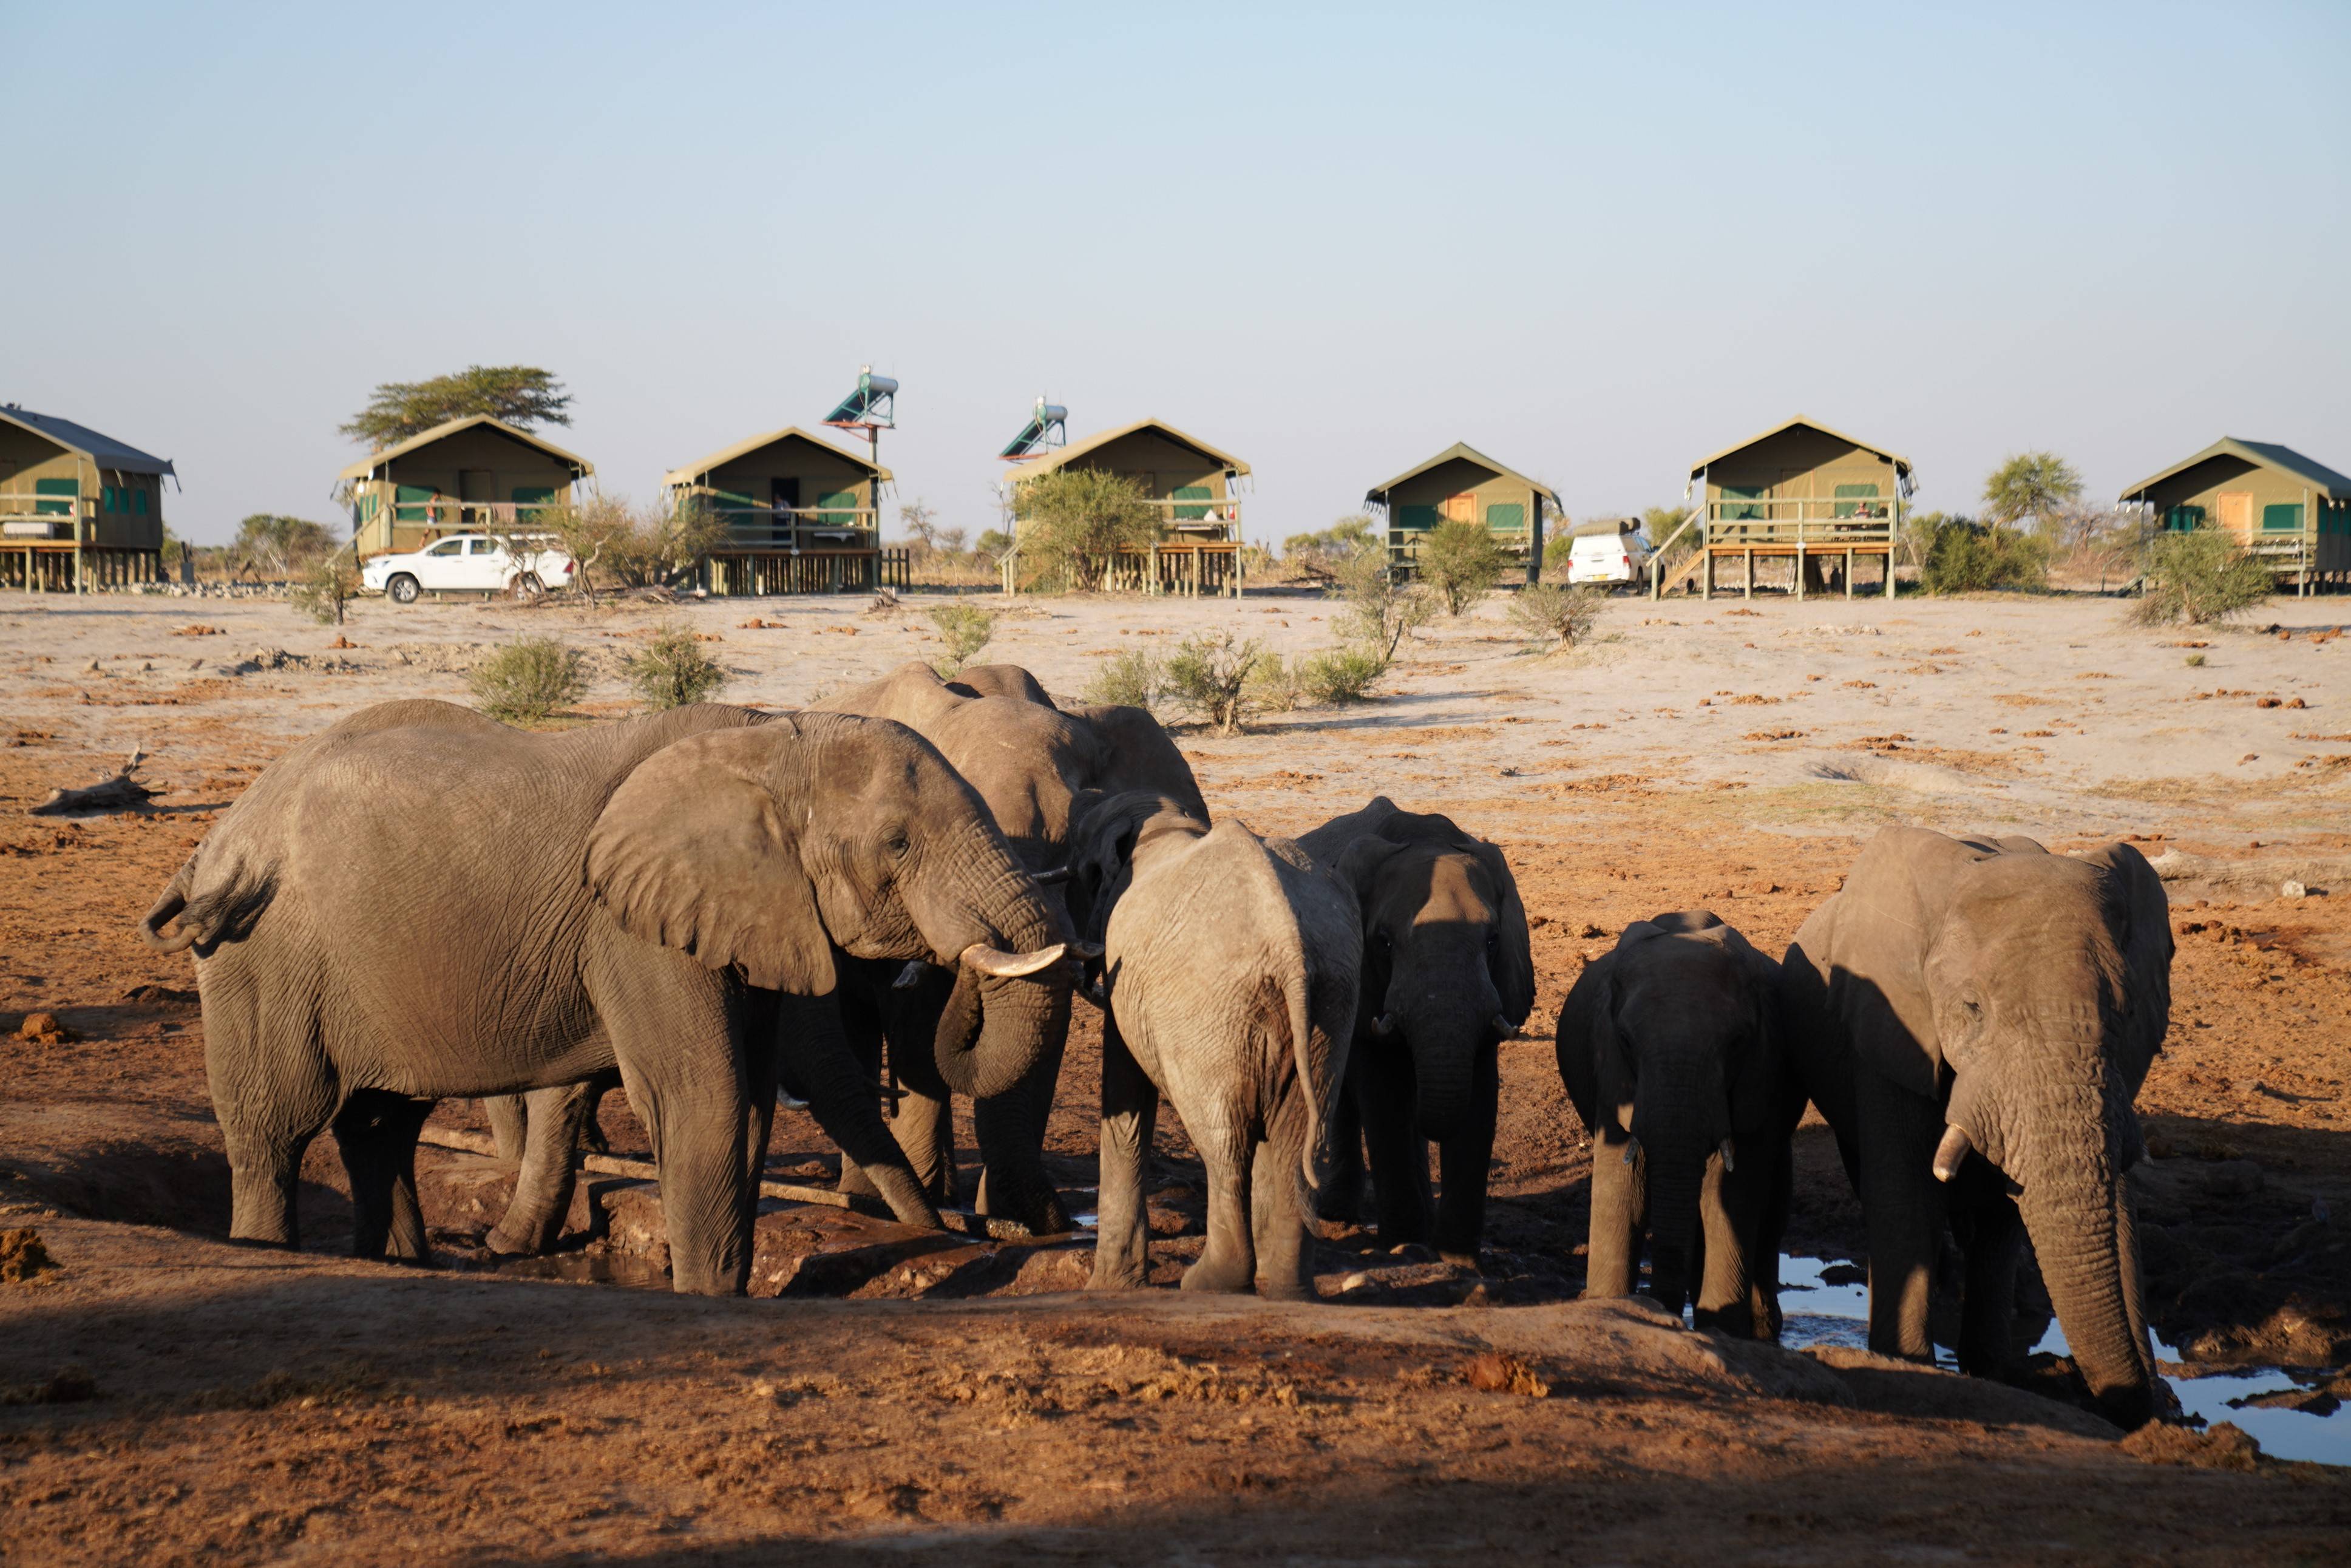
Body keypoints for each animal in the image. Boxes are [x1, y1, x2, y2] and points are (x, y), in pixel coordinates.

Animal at [137, 701, 1076, 1297]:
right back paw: (269, 1244)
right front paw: (709, 1302)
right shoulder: (631, 925)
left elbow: (749, 1104)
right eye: (897, 843)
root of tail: (211, 842)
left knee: (380, 1128)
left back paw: (399, 1266)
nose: (966, 1236)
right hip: (261, 955)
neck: (772, 740)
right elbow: (705, 1098)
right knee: (277, 1126)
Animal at [1067, 799, 1363, 1297]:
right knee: (1293, 1138)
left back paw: (1209, 1283)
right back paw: (1286, 1290)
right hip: (1332, 999)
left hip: (1208, 1011)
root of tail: (1287, 944)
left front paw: (1107, 1289)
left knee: (1224, 1142)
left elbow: (1126, 1089)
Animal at [1297, 799, 1533, 1260]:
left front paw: (1458, 1256)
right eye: (1384, 942)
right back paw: (1338, 1212)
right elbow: (1383, 1096)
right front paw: (1404, 1246)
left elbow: (1479, 1096)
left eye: (1493, 940)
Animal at [1561, 912, 1796, 1345]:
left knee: (1772, 1209)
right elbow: (1622, 1190)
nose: (1663, 1311)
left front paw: (1722, 1330)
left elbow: (1730, 1198)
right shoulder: (1612, 1072)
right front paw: (1610, 1309)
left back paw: (1762, 1331)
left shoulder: (1762, 1069)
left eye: (1737, 1042)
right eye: (1625, 1040)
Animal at [1786, 827, 2172, 1429]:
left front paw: (1990, 1370)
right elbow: (1905, 1191)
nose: (2152, 1403)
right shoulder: (1892, 1025)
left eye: (2126, 1013)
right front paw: (1906, 1364)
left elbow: (2006, 1205)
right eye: (1971, 1008)